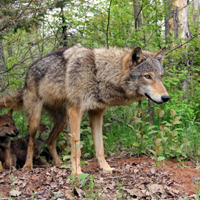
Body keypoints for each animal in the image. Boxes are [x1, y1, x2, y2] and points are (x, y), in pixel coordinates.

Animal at [0, 46, 170, 174]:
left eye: (161, 76)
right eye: (147, 76)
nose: (166, 97)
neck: (98, 73)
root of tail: (27, 74)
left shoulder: (97, 114)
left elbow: (100, 148)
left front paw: (106, 168)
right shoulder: (76, 112)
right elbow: (76, 149)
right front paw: (77, 173)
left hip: (62, 120)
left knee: (49, 141)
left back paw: (59, 163)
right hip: (36, 120)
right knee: (30, 141)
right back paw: (28, 166)